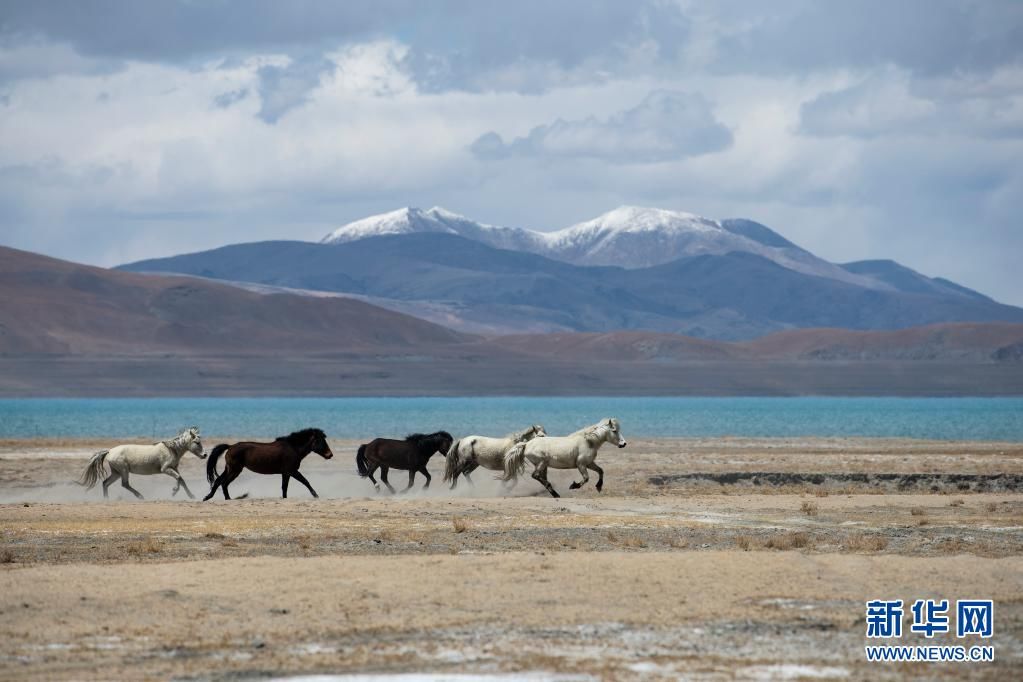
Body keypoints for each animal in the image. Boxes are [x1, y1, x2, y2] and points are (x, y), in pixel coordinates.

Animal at [76, 423, 204, 498]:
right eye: (197, 442)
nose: (205, 455)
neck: (171, 449)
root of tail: (110, 451)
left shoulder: (174, 468)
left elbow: (180, 479)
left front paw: (189, 495)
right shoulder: (165, 469)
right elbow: (178, 478)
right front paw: (175, 492)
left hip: (117, 472)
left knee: (105, 483)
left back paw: (107, 499)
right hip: (123, 470)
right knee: (124, 484)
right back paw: (140, 496)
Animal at [197, 427, 329, 501]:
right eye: (320, 440)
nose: (330, 454)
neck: (293, 448)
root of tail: (230, 447)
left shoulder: (285, 473)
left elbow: (284, 487)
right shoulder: (292, 471)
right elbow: (305, 481)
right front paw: (316, 495)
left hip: (229, 469)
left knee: (218, 481)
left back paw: (208, 497)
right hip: (235, 470)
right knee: (224, 482)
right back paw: (227, 498)